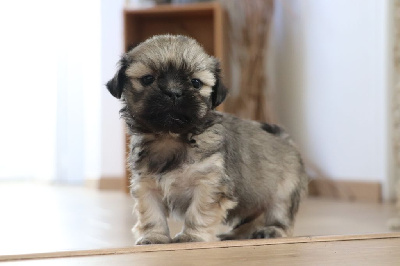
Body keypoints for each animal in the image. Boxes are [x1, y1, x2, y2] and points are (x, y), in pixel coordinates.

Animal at [106, 35, 310, 245]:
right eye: (147, 79)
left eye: (195, 83)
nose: (173, 92)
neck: (171, 137)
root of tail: (286, 139)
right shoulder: (147, 186)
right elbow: (152, 214)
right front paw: (154, 237)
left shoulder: (208, 183)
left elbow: (199, 212)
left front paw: (192, 236)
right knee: (252, 220)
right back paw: (233, 235)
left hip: (282, 194)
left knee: (280, 217)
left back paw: (271, 231)